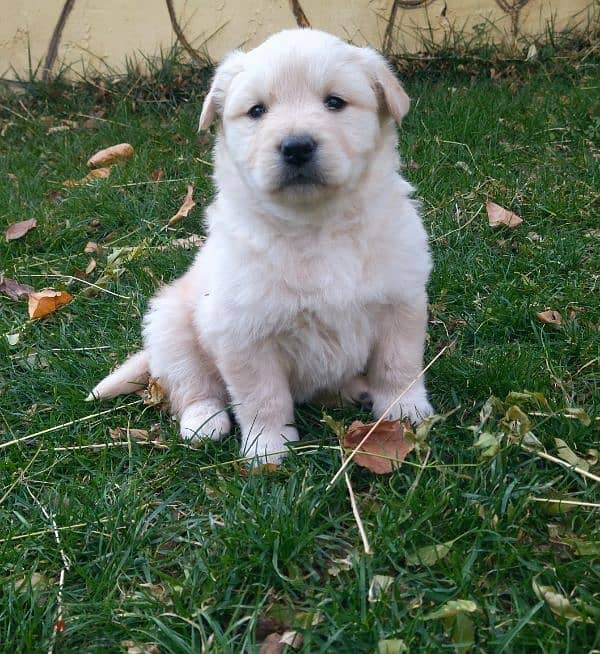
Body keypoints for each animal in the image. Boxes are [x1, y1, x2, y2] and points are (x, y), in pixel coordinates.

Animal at [89, 28, 434, 464]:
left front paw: (405, 410)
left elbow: (398, 364)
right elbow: (261, 397)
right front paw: (266, 448)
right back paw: (203, 422)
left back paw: (357, 388)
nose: (296, 146)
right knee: (191, 385)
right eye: (257, 111)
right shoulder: (244, 335)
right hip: (170, 326)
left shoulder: (400, 302)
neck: (316, 226)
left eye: (335, 102)